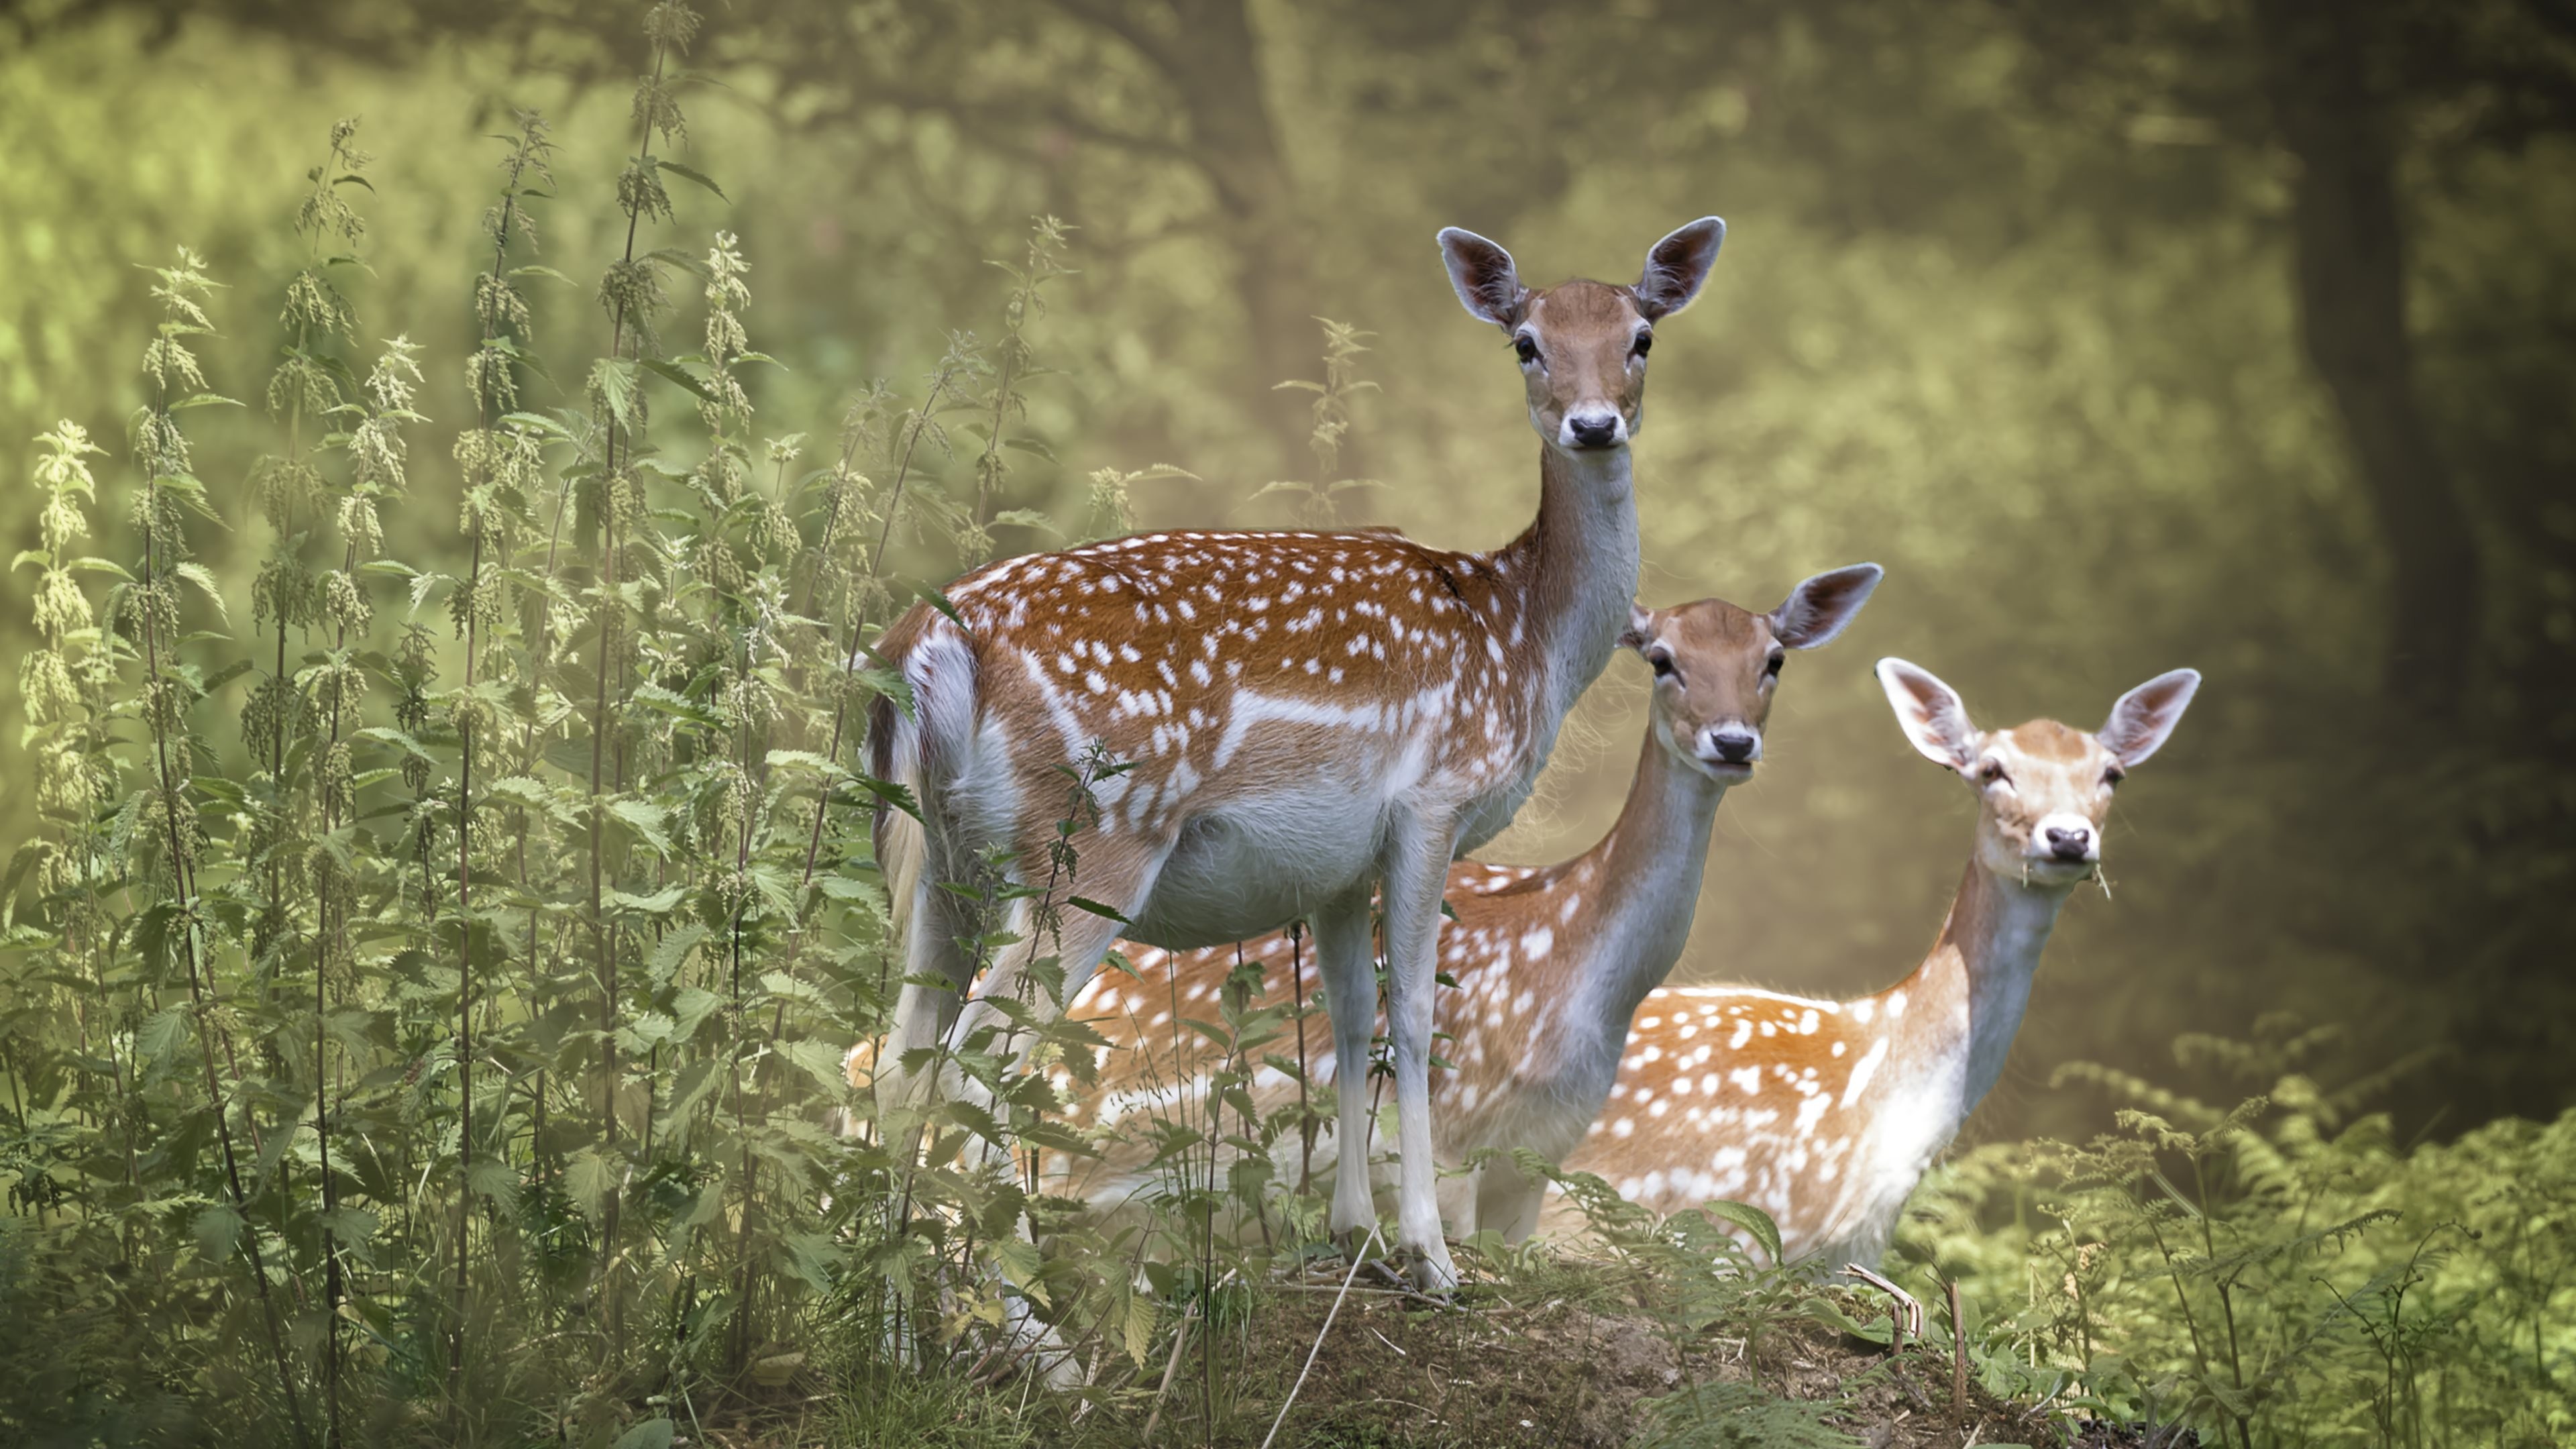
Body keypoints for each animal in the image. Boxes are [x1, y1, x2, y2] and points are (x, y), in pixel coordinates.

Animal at [858, 217, 1730, 1290]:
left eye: (1640, 337)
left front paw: (1354, 1231)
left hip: (943, 858)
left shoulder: (1336, 861)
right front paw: (1430, 1255)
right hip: (1091, 842)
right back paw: (1025, 1321)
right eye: (1526, 343)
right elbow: (1415, 1019)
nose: (1596, 424)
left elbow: (1351, 1018)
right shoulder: (1435, 801)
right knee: (968, 1077)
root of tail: (933, 642)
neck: (1525, 635)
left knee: (903, 1074)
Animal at [1040, 565, 1884, 1243]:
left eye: (1772, 659)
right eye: (1663, 660)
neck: (1581, 985)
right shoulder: (1451, 1141)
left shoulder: (1539, 1158)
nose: (1732, 742)